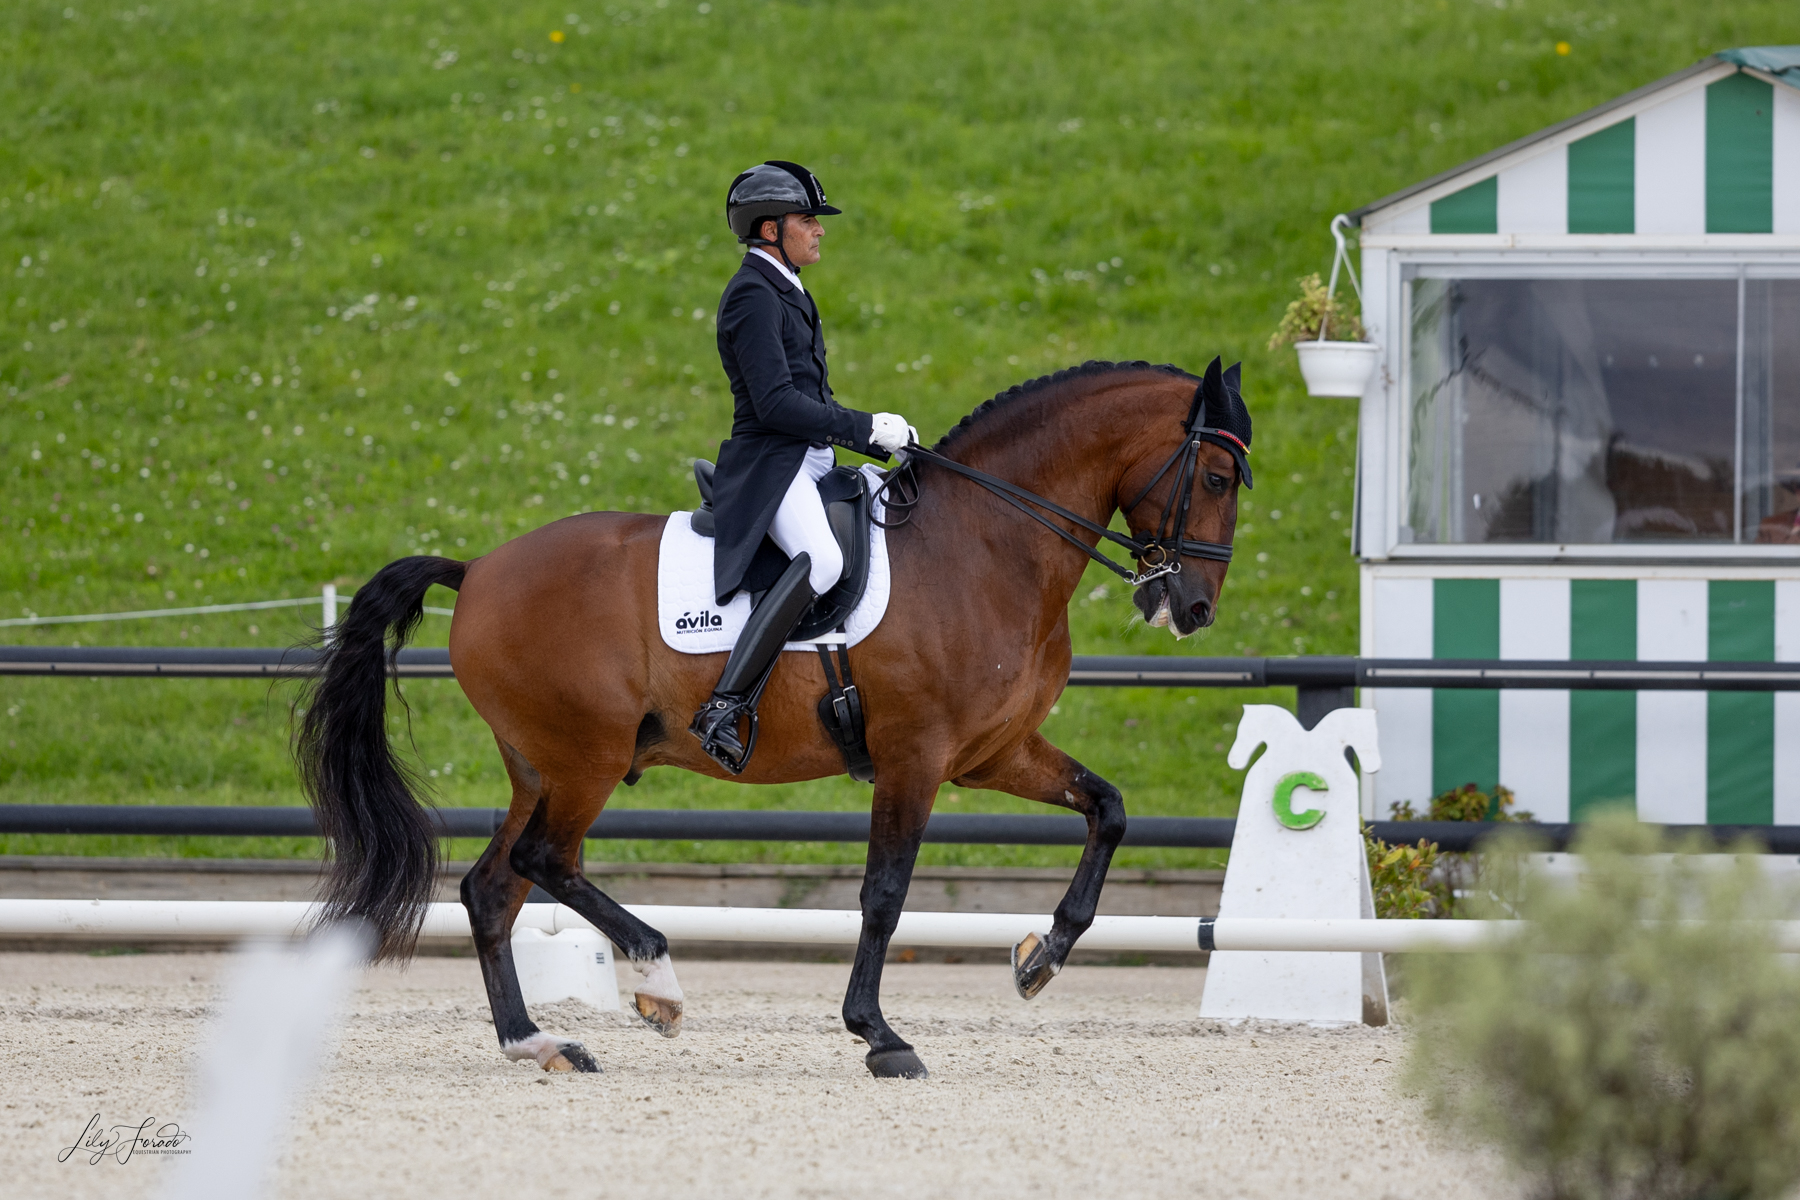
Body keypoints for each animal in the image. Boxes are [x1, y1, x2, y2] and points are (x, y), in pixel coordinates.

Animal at [298, 356, 1252, 1079]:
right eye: (1213, 476)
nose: (1195, 609)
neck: (986, 544)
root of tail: (478, 570)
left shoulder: (995, 752)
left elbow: (1108, 809)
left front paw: (1041, 959)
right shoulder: (915, 756)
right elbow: (883, 894)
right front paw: (879, 1035)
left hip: (539, 765)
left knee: (493, 888)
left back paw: (536, 1042)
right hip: (585, 760)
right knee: (544, 860)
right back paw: (658, 982)